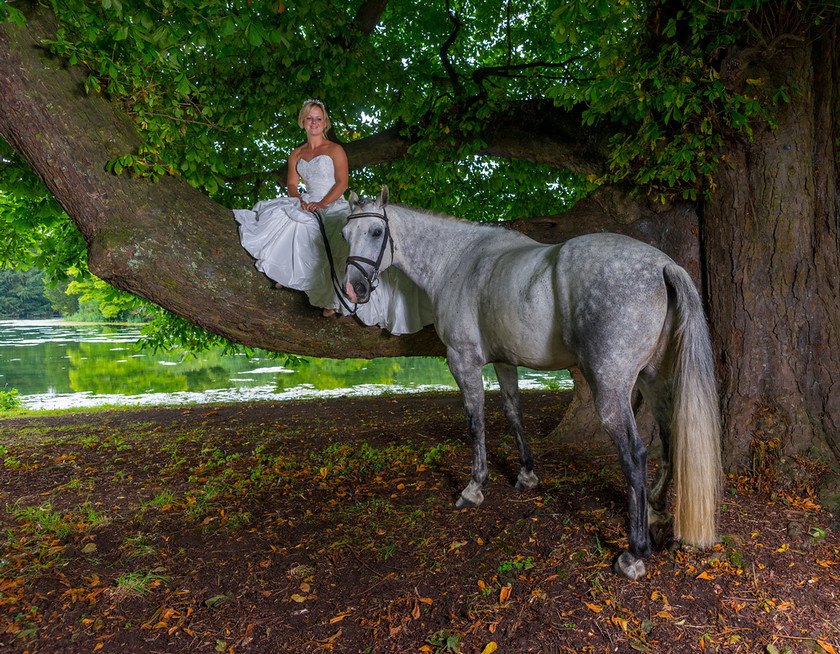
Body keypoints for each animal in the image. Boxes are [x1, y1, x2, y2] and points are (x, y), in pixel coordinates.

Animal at [342, 187, 720, 580]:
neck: (457, 260)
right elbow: (513, 413)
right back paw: (657, 511)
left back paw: (634, 552)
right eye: (344, 234)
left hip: (612, 388)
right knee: (669, 435)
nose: (353, 289)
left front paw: (474, 487)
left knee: (635, 455)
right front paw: (526, 474)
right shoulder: (505, 362)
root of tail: (662, 266)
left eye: (376, 232)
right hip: (653, 378)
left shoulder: (463, 361)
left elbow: (475, 421)